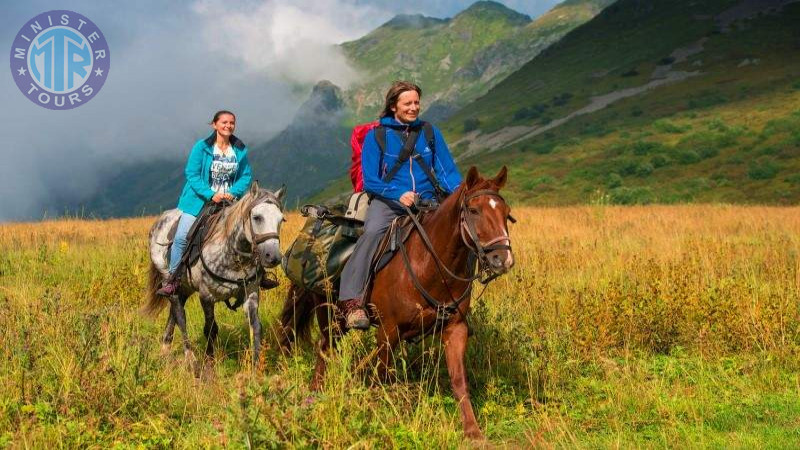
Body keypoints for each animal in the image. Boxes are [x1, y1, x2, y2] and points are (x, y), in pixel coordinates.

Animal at [143, 182, 284, 366]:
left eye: (281, 219)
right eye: (257, 217)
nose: (273, 257)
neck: (233, 256)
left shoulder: (251, 293)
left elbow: (256, 326)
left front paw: (256, 365)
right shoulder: (206, 296)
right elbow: (210, 328)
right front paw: (209, 361)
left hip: (185, 287)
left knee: (174, 310)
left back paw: (165, 349)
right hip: (169, 278)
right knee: (179, 313)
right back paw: (190, 357)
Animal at [280, 166, 512, 440]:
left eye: (506, 213)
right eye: (474, 211)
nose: (502, 259)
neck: (431, 264)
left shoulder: (455, 329)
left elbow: (458, 380)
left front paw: (472, 431)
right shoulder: (388, 331)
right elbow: (382, 376)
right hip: (329, 316)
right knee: (324, 350)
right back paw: (314, 393)